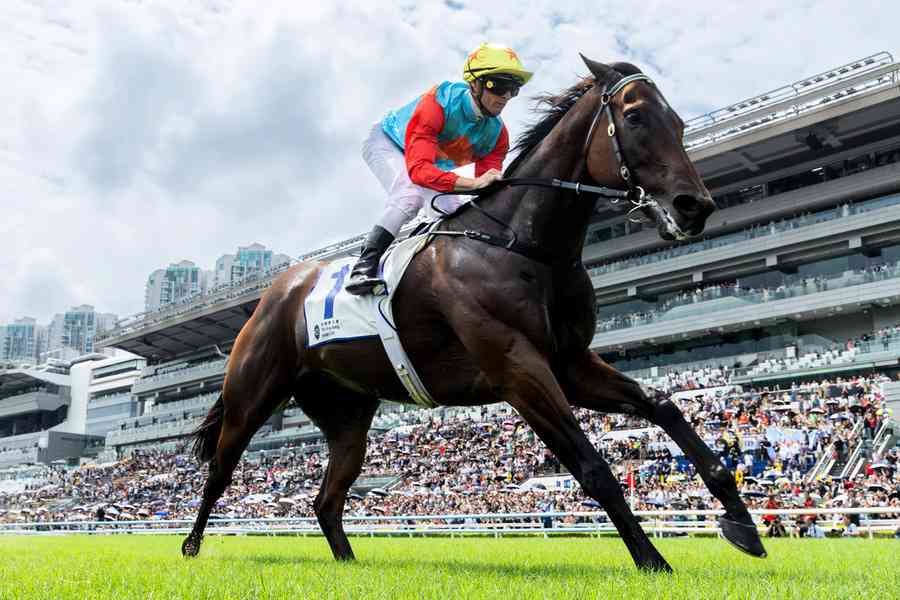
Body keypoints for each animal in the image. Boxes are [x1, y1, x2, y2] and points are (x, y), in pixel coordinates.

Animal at [181, 55, 767, 572]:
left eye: (680, 122)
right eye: (636, 116)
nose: (696, 206)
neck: (523, 244)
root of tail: (275, 293)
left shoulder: (570, 364)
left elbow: (664, 405)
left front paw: (742, 523)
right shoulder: (518, 369)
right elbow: (594, 468)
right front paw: (653, 561)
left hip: (347, 415)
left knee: (326, 499)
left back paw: (349, 563)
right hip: (252, 396)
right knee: (219, 473)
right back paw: (190, 547)